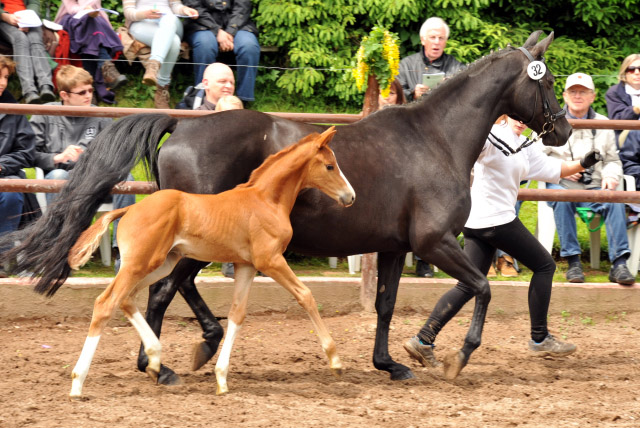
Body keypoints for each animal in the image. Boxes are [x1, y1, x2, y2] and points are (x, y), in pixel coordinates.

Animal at [66, 128, 356, 398]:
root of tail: (129, 209)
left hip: (161, 263)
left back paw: (156, 360)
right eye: (330, 166)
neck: (266, 201)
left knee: (127, 299)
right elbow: (305, 295)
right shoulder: (270, 260)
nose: (350, 196)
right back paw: (78, 382)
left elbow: (237, 313)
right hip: (139, 264)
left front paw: (221, 378)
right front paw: (336, 361)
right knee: (106, 303)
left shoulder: (246, 265)